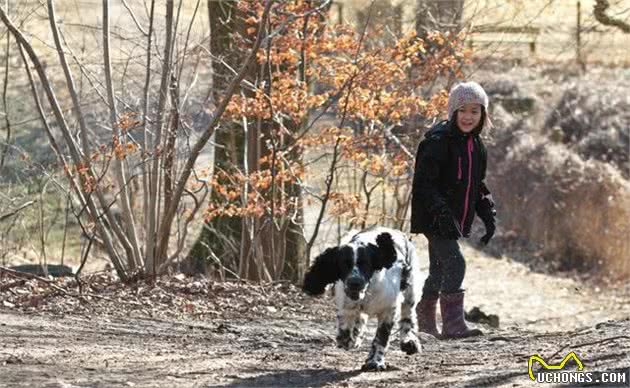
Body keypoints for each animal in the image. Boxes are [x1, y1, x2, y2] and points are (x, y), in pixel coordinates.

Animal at [304, 227, 428, 370]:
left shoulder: (388, 310)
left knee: (408, 315)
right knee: (360, 320)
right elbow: (345, 329)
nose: (355, 282)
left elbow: (381, 338)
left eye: (366, 264)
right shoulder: (346, 306)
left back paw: (409, 341)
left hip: (410, 291)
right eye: (344, 264)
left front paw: (376, 362)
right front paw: (350, 340)